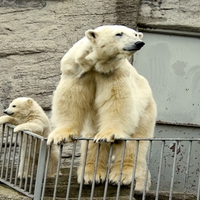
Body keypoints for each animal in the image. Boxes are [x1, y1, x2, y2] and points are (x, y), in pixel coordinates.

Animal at [47, 25, 157, 191]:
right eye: (119, 34)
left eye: (136, 34)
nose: (139, 43)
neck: (95, 64)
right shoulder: (76, 71)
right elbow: (71, 99)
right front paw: (61, 136)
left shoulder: (114, 73)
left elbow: (117, 102)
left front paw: (107, 135)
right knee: (92, 143)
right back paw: (91, 175)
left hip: (145, 111)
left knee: (133, 143)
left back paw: (121, 176)